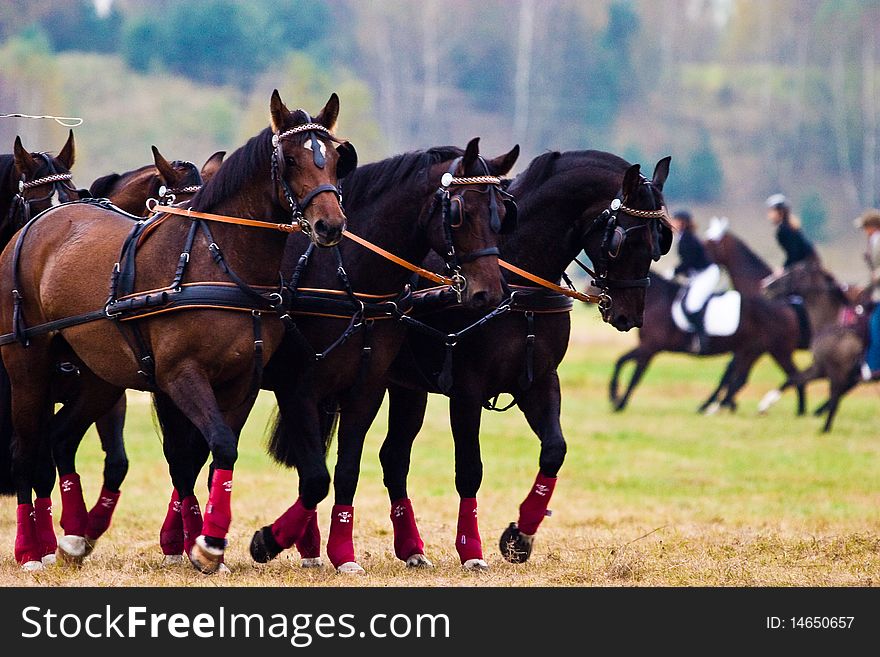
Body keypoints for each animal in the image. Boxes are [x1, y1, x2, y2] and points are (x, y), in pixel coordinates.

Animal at [0, 89, 350, 572]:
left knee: (60, 437)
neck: (220, 261)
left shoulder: (242, 381)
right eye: (292, 160)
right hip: (27, 368)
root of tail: (31, 231)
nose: (329, 225)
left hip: (100, 378)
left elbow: (210, 455)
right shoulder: (179, 375)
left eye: (334, 158)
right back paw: (32, 550)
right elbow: (215, 447)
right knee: (25, 451)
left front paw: (208, 540)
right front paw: (207, 543)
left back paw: (72, 537)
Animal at [241, 140, 520, 576]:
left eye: (504, 214)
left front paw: (342, 553)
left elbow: (344, 471)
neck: (347, 278)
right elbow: (315, 474)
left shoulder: (365, 390)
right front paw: (268, 541)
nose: (488, 292)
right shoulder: (297, 389)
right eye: (459, 211)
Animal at [330, 150, 672, 568]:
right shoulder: (466, 391)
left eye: (661, 239)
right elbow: (469, 468)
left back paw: (412, 549)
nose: (629, 315)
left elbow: (554, 450)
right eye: (621, 239)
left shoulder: (540, 381)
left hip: (408, 388)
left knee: (394, 457)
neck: (516, 284)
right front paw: (471, 549)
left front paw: (519, 536)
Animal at [612, 220, 804, 416]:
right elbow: (620, 361)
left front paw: (620, 403)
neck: (656, 299)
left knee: (793, 375)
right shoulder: (646, 346)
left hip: (777, 350)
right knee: (742, 378)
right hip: (753, 350)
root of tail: (785, 307)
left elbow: (635, 376)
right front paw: (614, 397)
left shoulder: (650, 347)